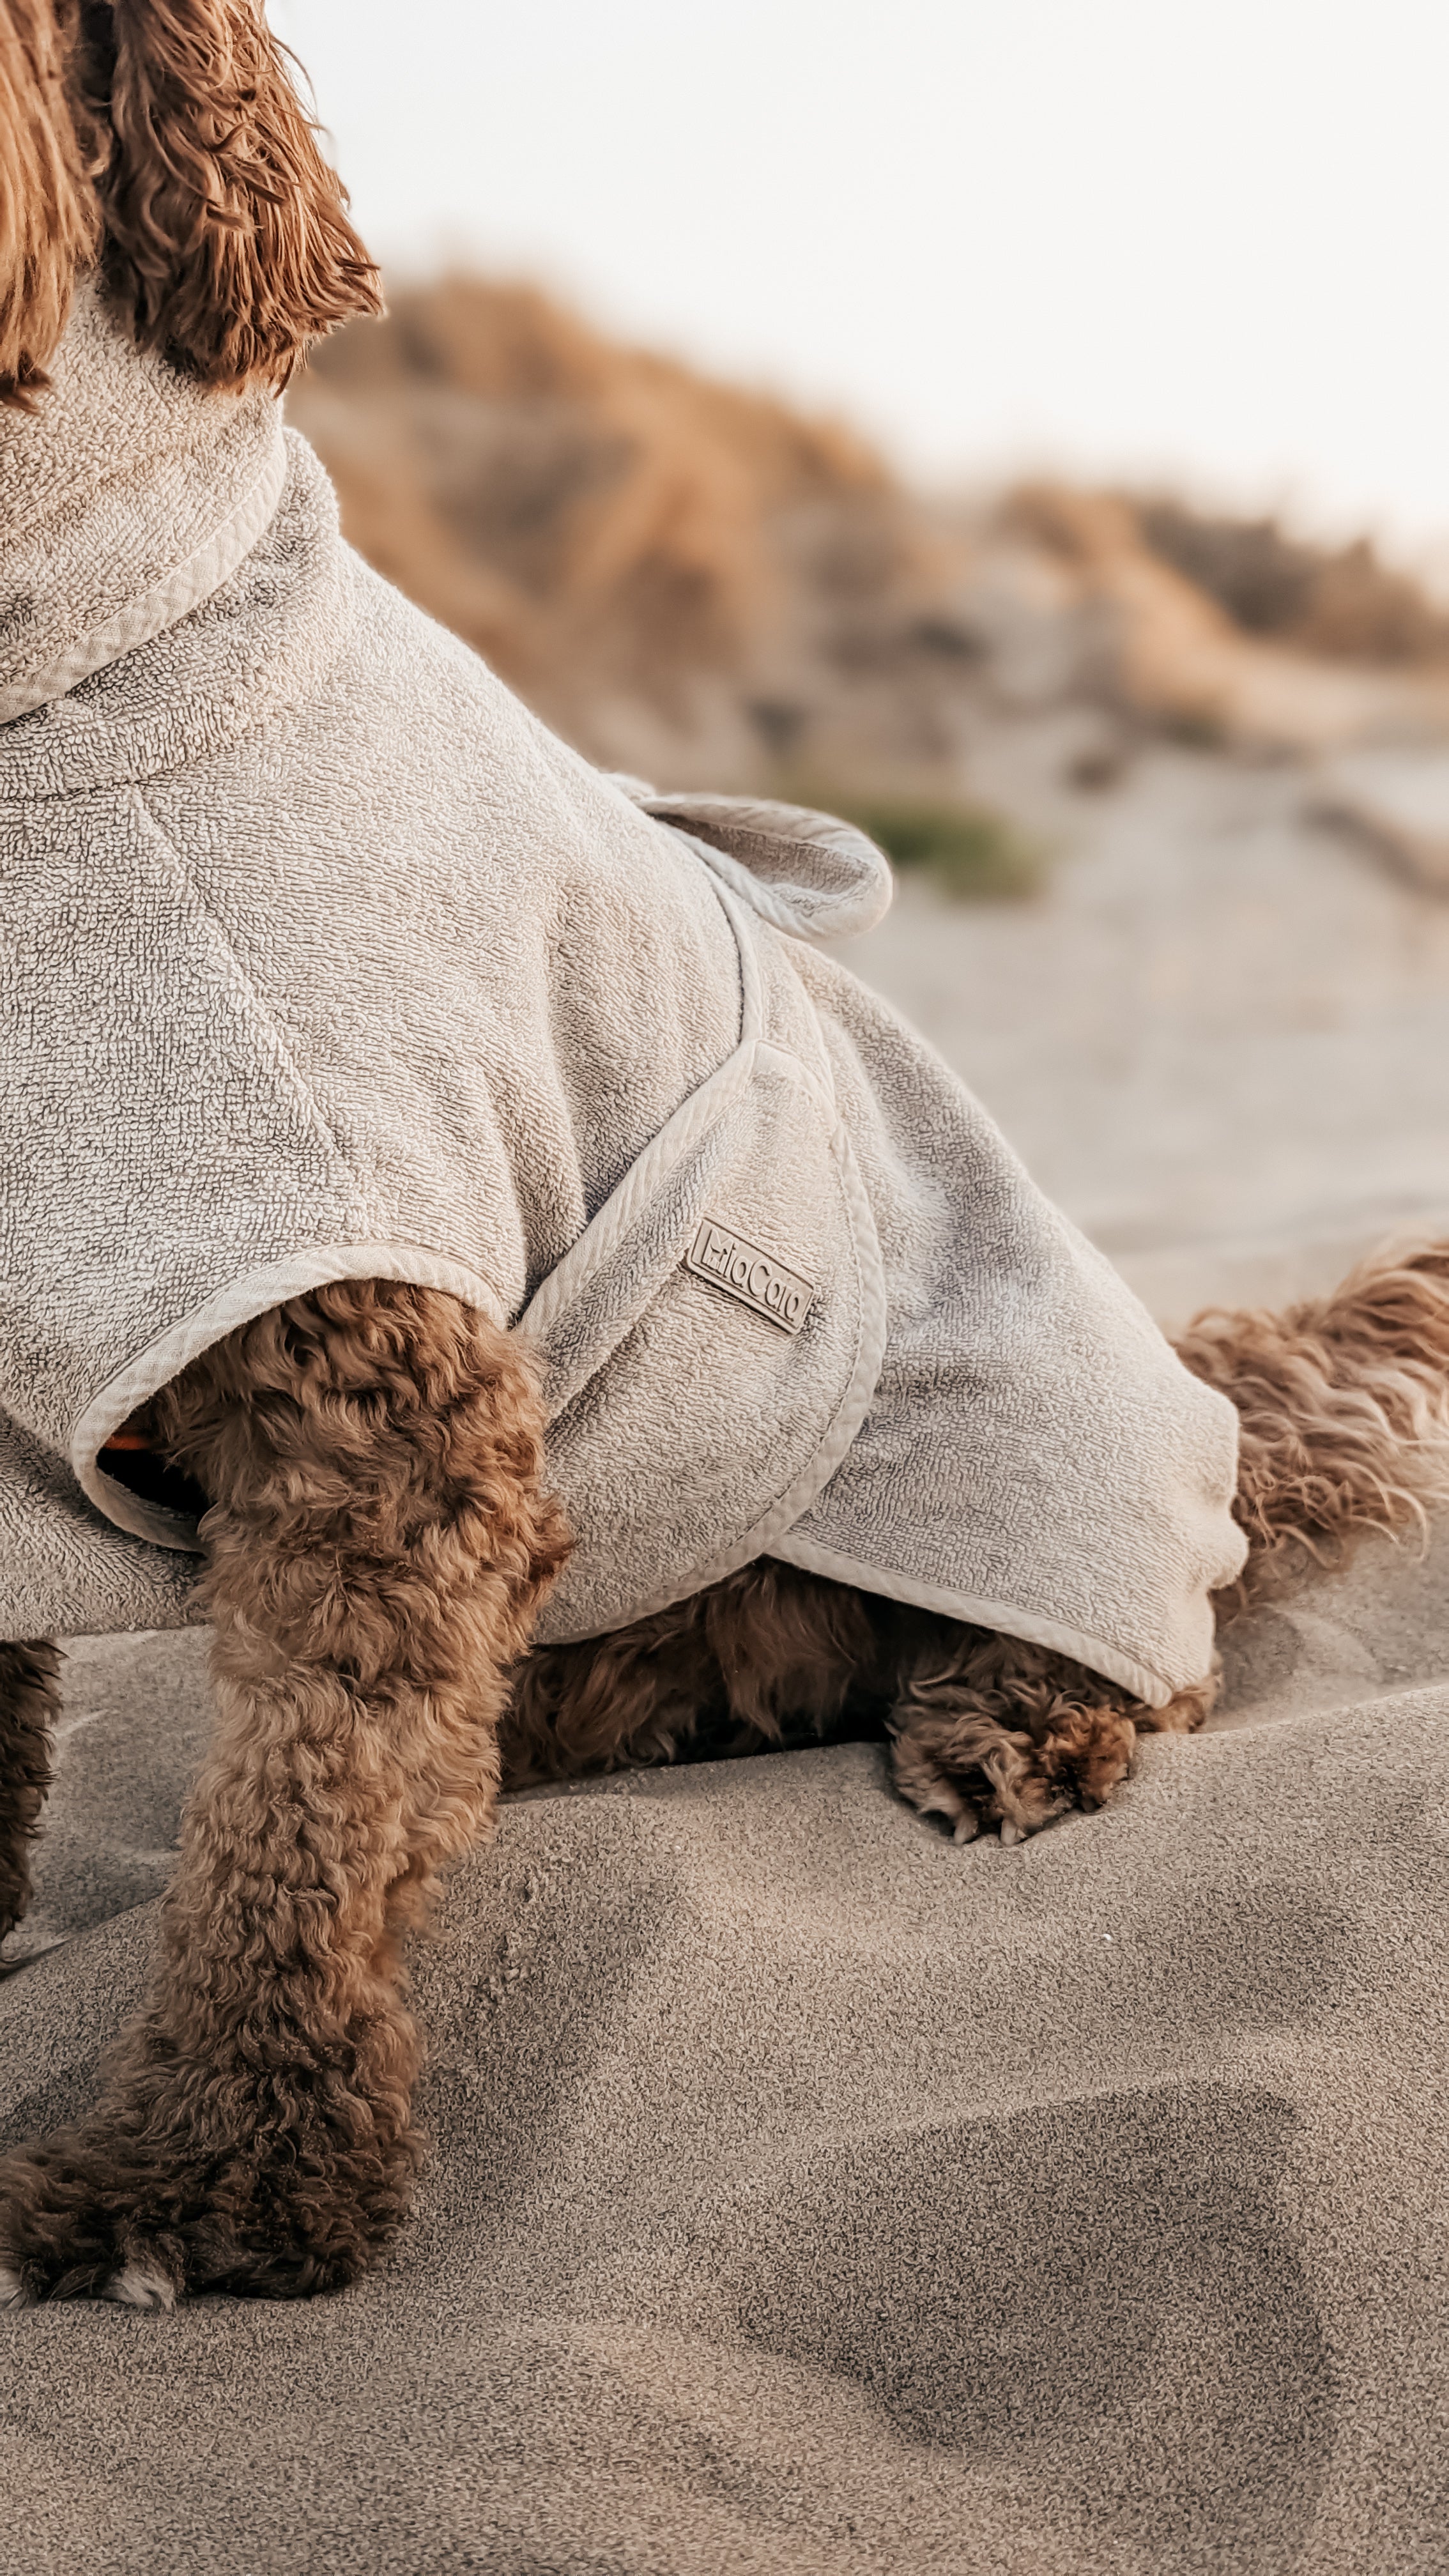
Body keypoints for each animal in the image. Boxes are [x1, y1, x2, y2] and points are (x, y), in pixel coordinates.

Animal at [3, 0, 1443, 2308]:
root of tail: (1198, 1392)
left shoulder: (380, 1411)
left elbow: (299, 1827)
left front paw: (202, 2192)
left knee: (1160, 1647)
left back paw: (1005, 1713)